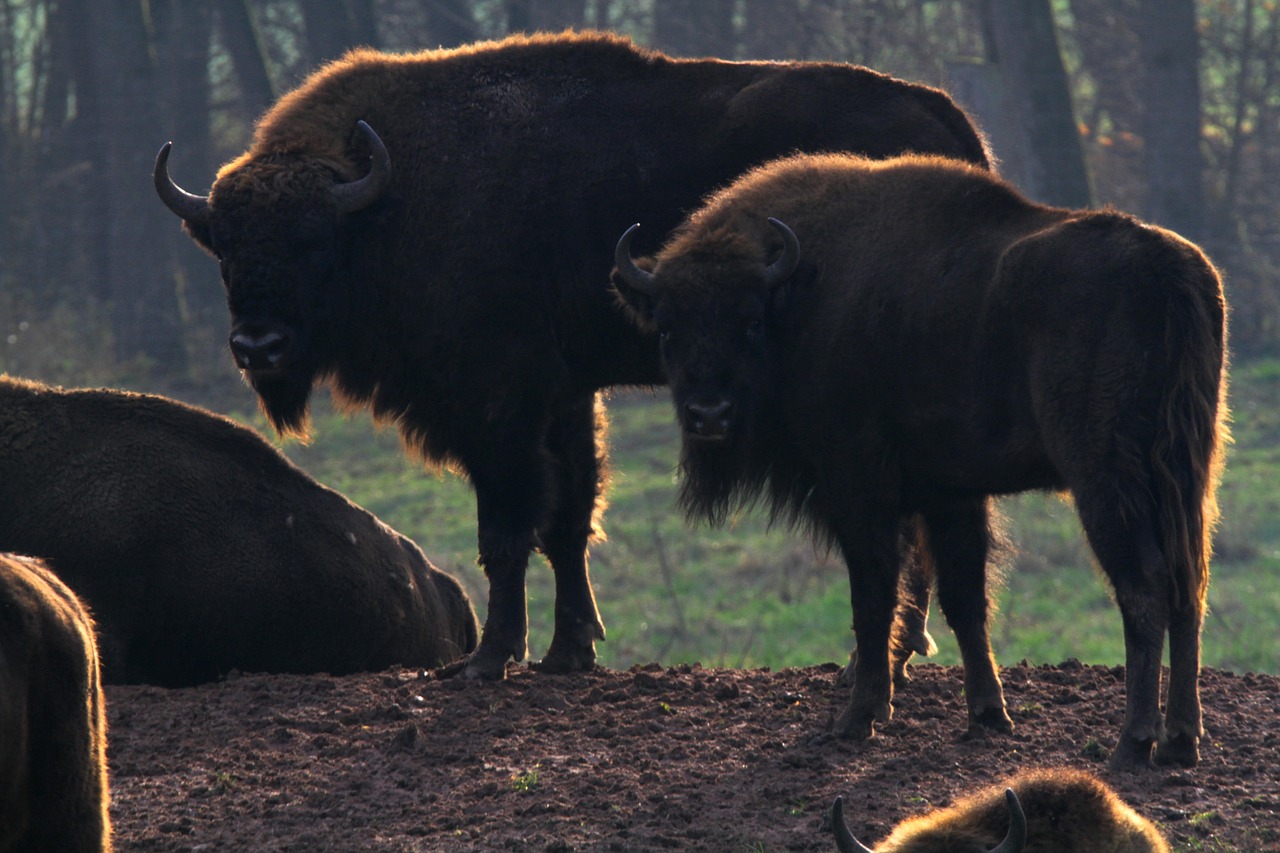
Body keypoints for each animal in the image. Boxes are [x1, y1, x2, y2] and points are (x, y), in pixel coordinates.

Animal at [152, 29, 988, 676]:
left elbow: (510, 526)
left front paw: (490, 659)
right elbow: (569, 518)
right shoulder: (563, 394)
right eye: (225, 251)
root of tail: (948, 121)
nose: (257, 344)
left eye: (312, 243)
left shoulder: (499, 402)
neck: (392, 198)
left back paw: (885, 656)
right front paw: (568, 651)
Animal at [614, 149, 1233, 768]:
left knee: (1144, 585)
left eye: (749, 322)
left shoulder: (859, 491)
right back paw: (1182, 740)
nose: (709, 415)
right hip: (1187, 475)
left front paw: (858, 717)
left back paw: (1134, 741)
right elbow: (964, 599)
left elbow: (874, 598)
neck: (800, 293)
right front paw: (988, 714)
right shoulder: (949, 494)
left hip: (1106, 479)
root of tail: (1167, 269)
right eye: (667, 329)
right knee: (1189, 584)